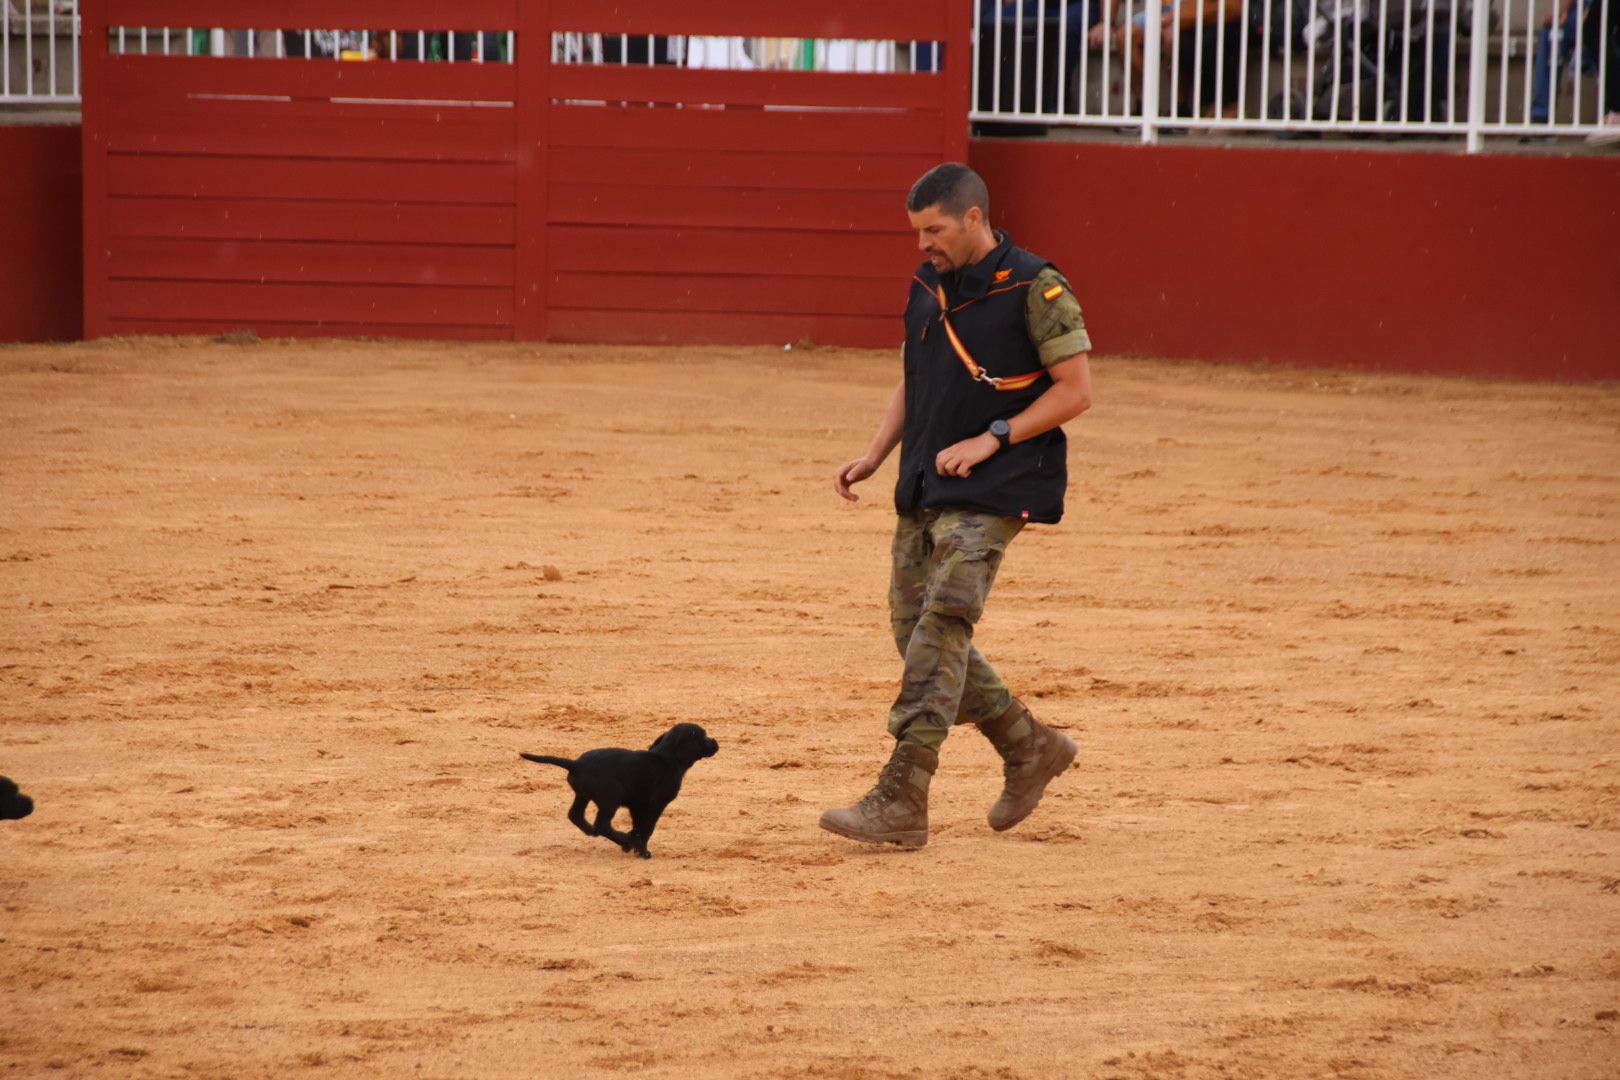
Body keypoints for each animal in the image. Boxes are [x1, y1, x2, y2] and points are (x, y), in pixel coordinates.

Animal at [521, 722, 719, 867]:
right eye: (703, 736)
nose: (716, 742)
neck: (667, 758)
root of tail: (576, 764)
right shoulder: (655, 805)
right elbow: (647, 828)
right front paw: (642, 851)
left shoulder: (637, 805)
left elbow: (639, 827)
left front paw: (635, 844)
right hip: (610, 800)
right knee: (602, 825)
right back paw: (624, 840)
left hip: (583, 795)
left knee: (576, 815)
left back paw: (597, 833)